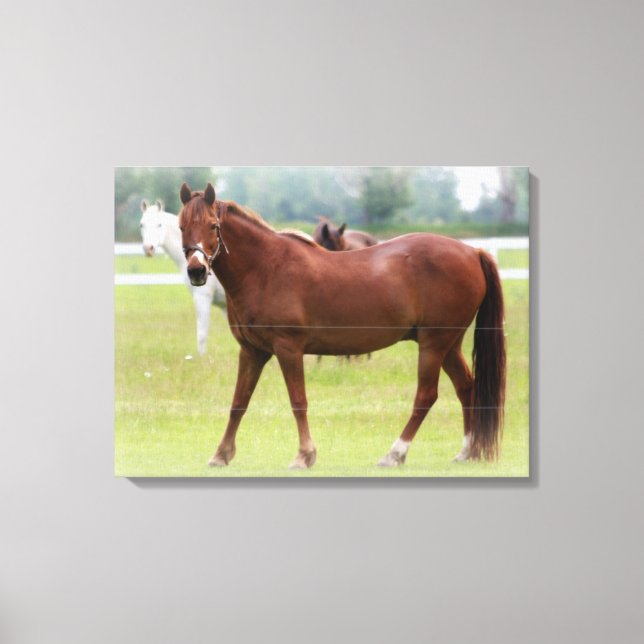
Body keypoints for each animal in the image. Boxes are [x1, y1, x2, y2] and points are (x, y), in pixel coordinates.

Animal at [178, 182, 506, 470]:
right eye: (181, 226)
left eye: (213, 225)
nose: (196, 271)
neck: (266, 269)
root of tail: (473, 252)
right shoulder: (252, 352)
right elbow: (239, 402)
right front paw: (221, 455)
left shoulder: (288, 349)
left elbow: (298, 400)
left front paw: (304, 456)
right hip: (449, 344)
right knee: (466, 387)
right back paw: (466, 452)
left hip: (434, 343)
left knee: (426, 396)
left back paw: (394, 454)